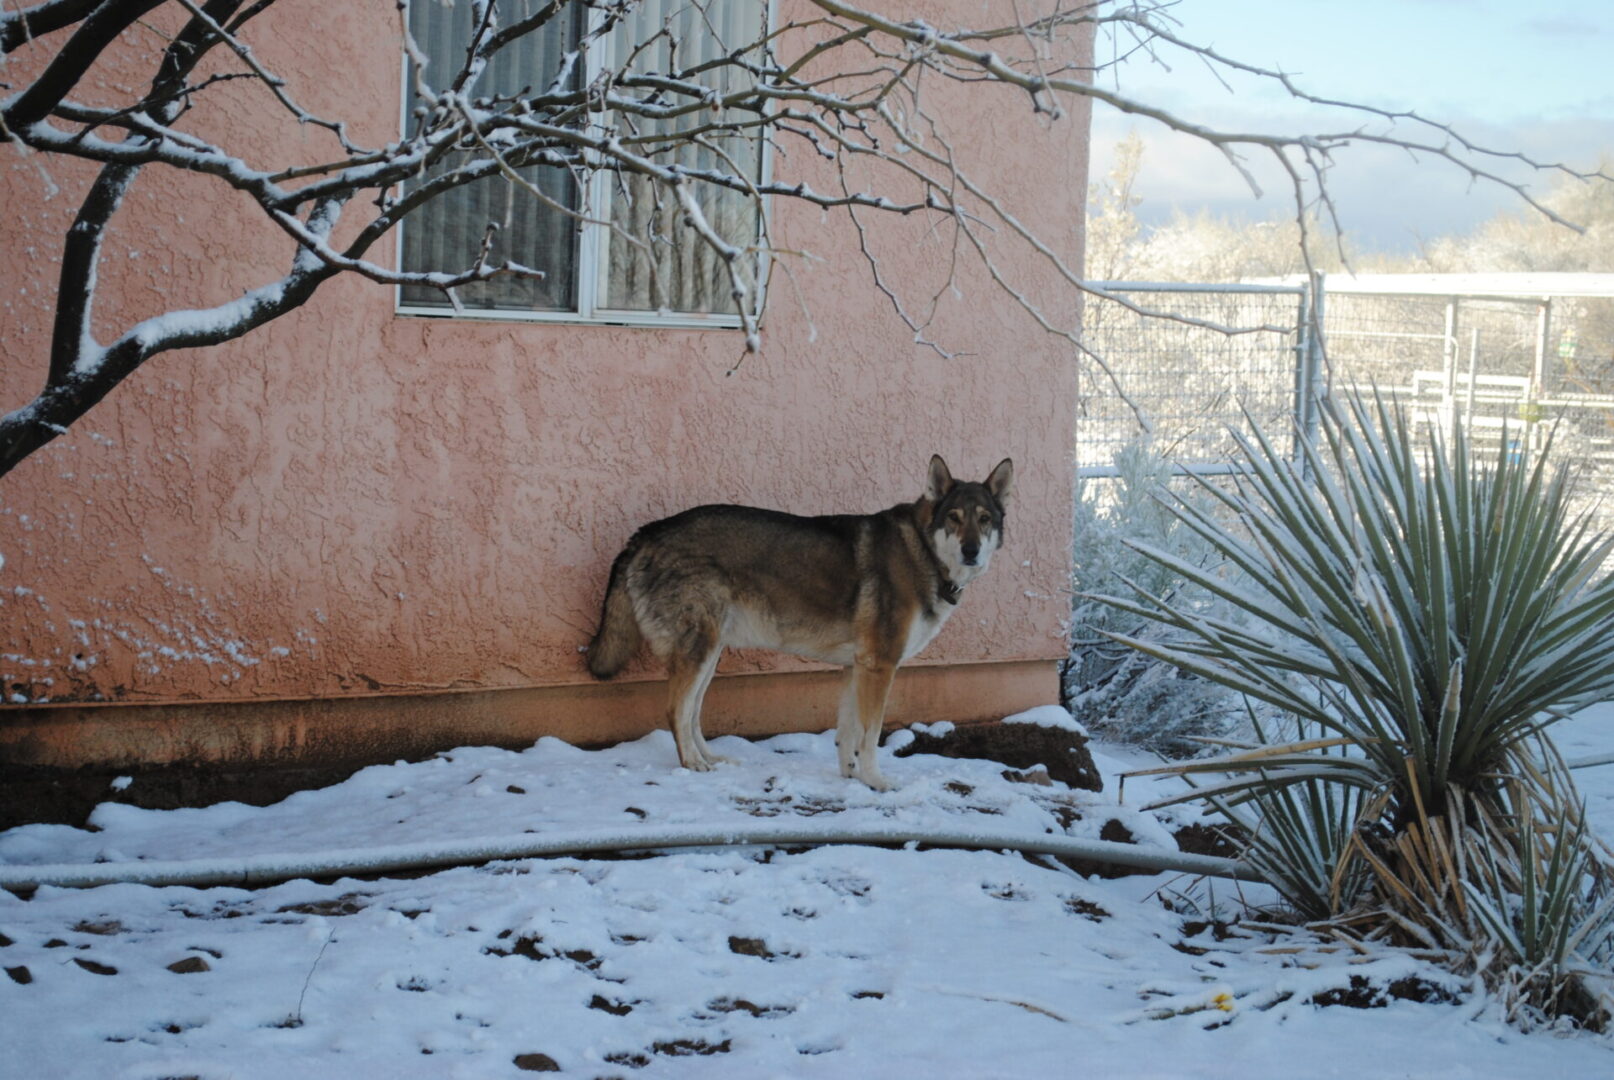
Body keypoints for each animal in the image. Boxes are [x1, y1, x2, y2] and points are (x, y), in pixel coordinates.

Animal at [587, 452, 1013, 787]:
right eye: (954, 517)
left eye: (984, 519)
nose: (971, 550)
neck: (924, 551)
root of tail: (645, 533)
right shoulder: (881, 666)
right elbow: (870, 734)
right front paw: (876, 782)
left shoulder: (856, 667)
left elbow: (847, 734)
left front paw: (850, 778)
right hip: (698, 651)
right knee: (676, 711)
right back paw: (692, 764)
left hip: (709, 654)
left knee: (692, 713)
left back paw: (710, 759)